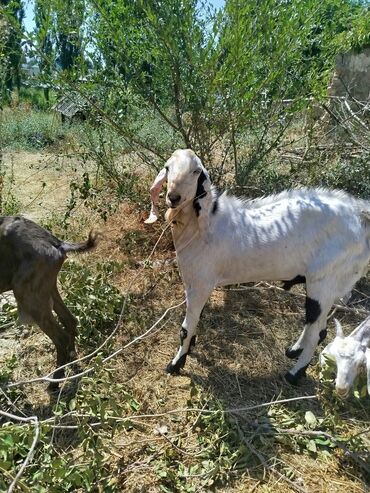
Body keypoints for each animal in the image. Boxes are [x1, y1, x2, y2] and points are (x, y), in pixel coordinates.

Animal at [0, 215, 97, 388]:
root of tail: (56, 243)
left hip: (29, 296)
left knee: (60, 337)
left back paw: (55, 381)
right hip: (47, 288)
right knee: (70, 320)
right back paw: (70, 359)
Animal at [145, 148, 370, 382]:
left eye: (196, 171)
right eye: (167, 168)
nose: (173, 197)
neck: (200, 227)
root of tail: (360, 214)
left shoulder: (200, 284)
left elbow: (185, 329)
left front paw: (176, 363)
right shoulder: (196, 284)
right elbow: (195, 323)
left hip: (324, 280)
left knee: (316, 330)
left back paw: (294, 374)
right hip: (328, 284)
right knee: (317, 325)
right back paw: (293, 351)